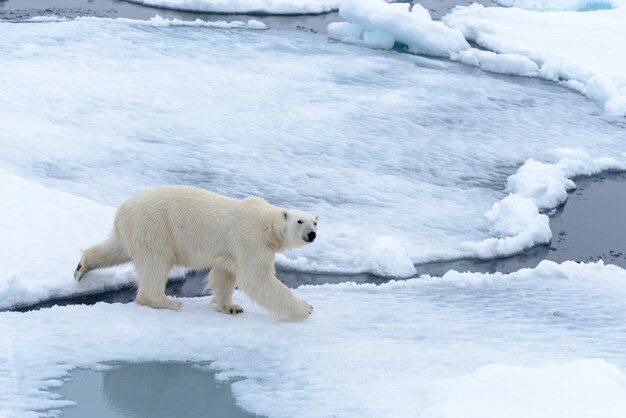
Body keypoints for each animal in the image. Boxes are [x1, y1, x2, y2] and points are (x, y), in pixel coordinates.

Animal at [74, 186, 316, 320]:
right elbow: (257, 279)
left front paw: (231, 307)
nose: (312, 234)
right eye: (299, 221)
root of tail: (123, 209)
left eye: (314, 222)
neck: (267, 225)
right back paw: (166, 301)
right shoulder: (250, 241)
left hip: (134, 229)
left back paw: (81, 267)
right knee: (156, 262)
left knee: (117, 248)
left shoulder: (232, 250)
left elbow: (225, 274)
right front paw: (306, 308)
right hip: (155, 226)